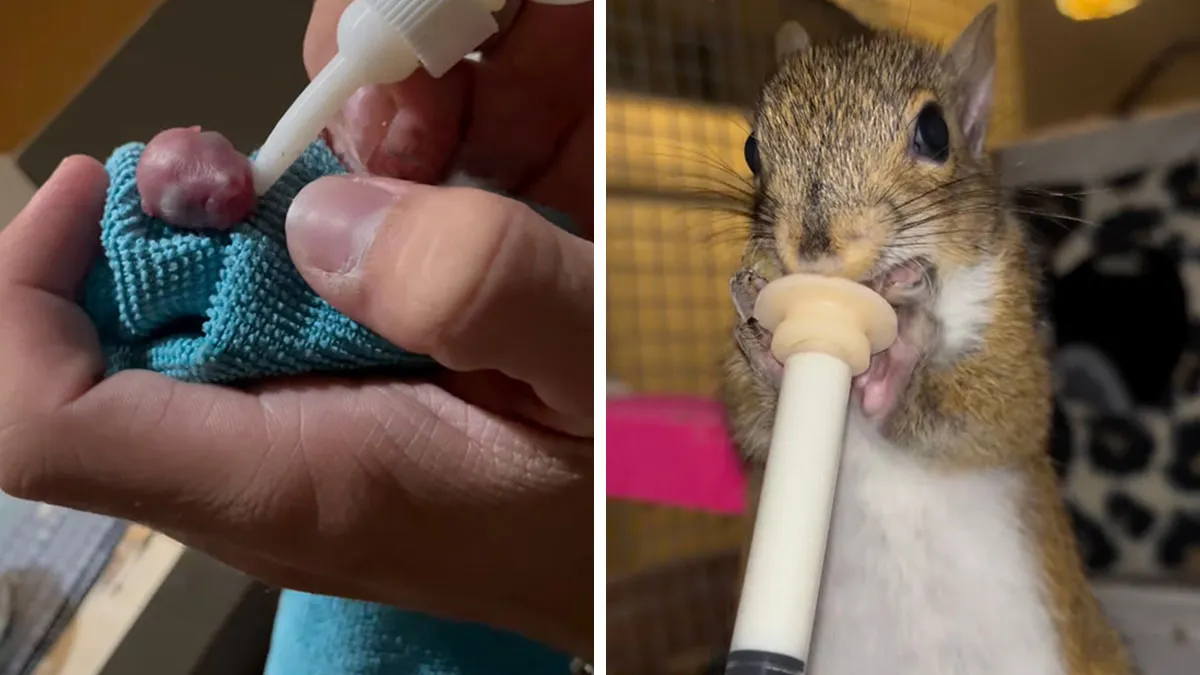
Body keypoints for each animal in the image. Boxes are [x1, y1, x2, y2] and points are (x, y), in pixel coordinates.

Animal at [718, 5, 1133, 674]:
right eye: (753, 148)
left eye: (936, 133)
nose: (814, 248)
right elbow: (752, 425)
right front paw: (765, 351)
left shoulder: (1010, 347)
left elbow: (993, 412)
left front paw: (902, 358)